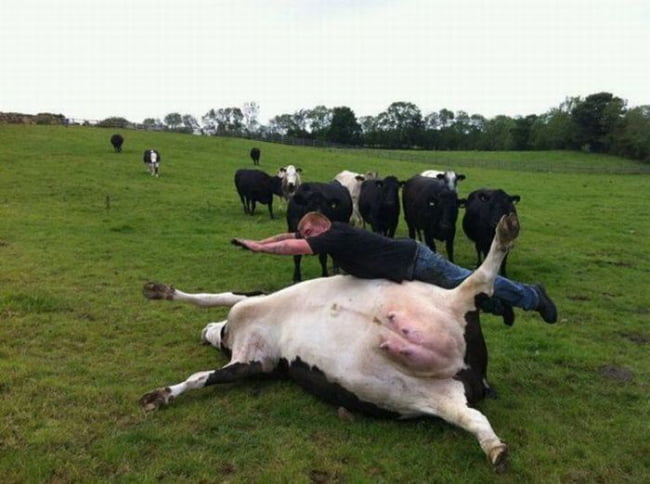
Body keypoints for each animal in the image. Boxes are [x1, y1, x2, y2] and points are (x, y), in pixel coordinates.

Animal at [140, 214, 523, 472]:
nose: (206, 332)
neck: (233, 334)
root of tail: (469, 369)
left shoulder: (251, 301)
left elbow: (208, 298)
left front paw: (160, 292)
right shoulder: (255, 363)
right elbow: (203, 376)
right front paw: (161, 395)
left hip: (453, 301)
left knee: (480, 279)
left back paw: (505, 232)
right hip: (438, 395)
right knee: (473, 418)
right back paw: (496, 450)